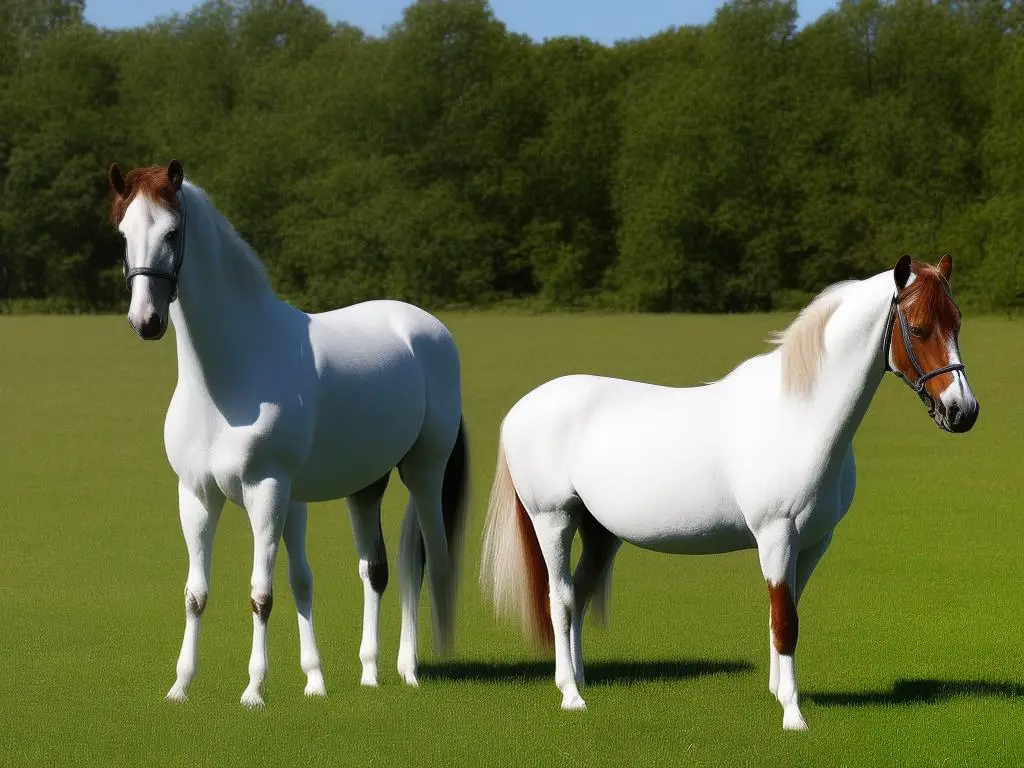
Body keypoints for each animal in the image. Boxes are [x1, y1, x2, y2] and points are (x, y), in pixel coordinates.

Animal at [107, 160, 468, 708]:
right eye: (123, 233)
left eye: (172, 232)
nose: (146, 321)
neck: (228, 377)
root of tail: (429, 330)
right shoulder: (197, 495)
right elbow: (199, 594)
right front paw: (181, 686)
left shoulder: (268, 491)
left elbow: (262, 594)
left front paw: (254, 690)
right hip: (366, 486)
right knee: (376, 569)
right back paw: (369, 672)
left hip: (424, 472)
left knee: (425, 561)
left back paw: (410, 669)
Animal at [483, 256, 978, 729]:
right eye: (919, 328)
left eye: (956, 322)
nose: (963, 411)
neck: (798, 415)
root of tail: (518, 410)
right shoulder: (777, 536)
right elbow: (785, 620)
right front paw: (793, 715)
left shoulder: (813, 542)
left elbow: (786, 613)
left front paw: (779, 692)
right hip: (554, 519)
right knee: (561, 599)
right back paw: (571, 694)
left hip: (600, 531)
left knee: (581, 594)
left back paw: (582, 680)